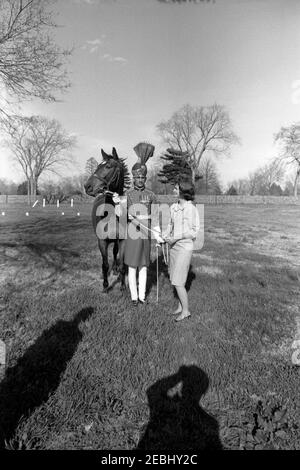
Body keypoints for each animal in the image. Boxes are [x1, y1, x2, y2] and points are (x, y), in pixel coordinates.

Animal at [85, 149, 131, 292]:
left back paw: (115, 270)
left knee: (115, 252)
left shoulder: (122, 241)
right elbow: (104, 264)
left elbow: (122, 264)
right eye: (97, 166)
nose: (87, 186)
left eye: (108, 166)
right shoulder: (102, 242)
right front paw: (105, 285)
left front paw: (122, 286)